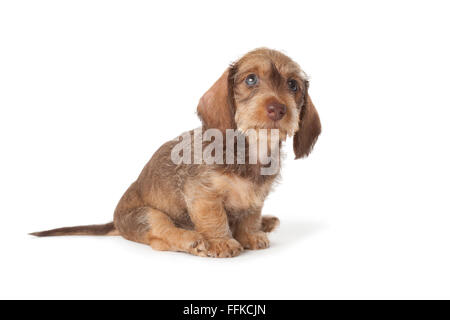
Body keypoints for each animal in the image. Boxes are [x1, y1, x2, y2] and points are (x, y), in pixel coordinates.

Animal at [30, 47, 320, 258]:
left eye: (293, 85)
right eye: (251, 79)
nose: (277, 109)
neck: (251, 148)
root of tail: (116, 222)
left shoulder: (256, 198)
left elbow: (250, 215)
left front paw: (250, 233)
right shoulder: (202, 195)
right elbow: (214, 218)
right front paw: (221, 241)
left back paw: (266, 223)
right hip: (149, 215)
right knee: (162, 236)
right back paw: (193, 240)